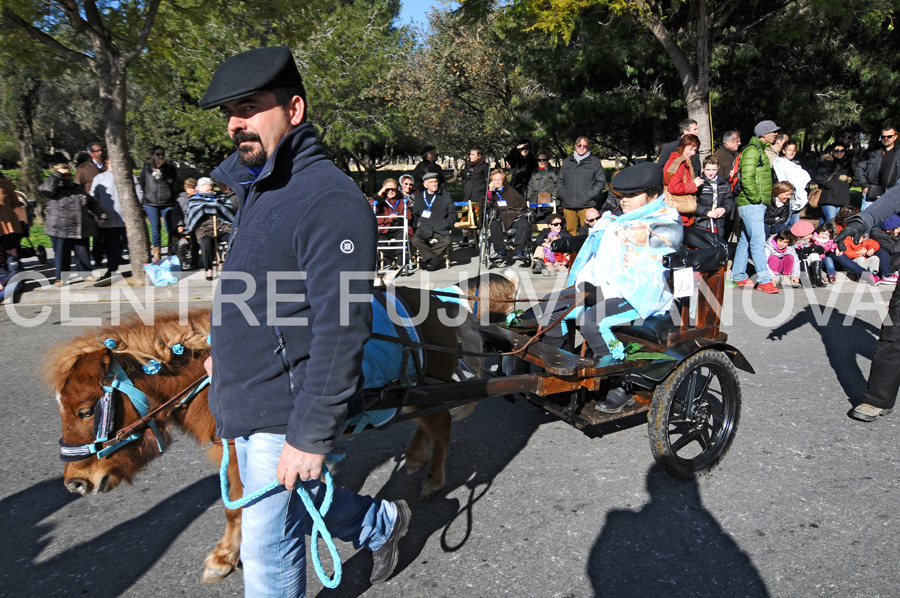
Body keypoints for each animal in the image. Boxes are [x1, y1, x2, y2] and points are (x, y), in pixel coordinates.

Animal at [45, 274, 516, 584]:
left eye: (85, 411)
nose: (76, 483)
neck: (215, 378)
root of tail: (446, 302)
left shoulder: (244, 455)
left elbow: (237, 507)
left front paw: (224, 557)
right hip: (413, 390)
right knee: (426, 424)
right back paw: (417, 460)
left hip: (428, 386)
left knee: (441, 423)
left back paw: (433, 477)